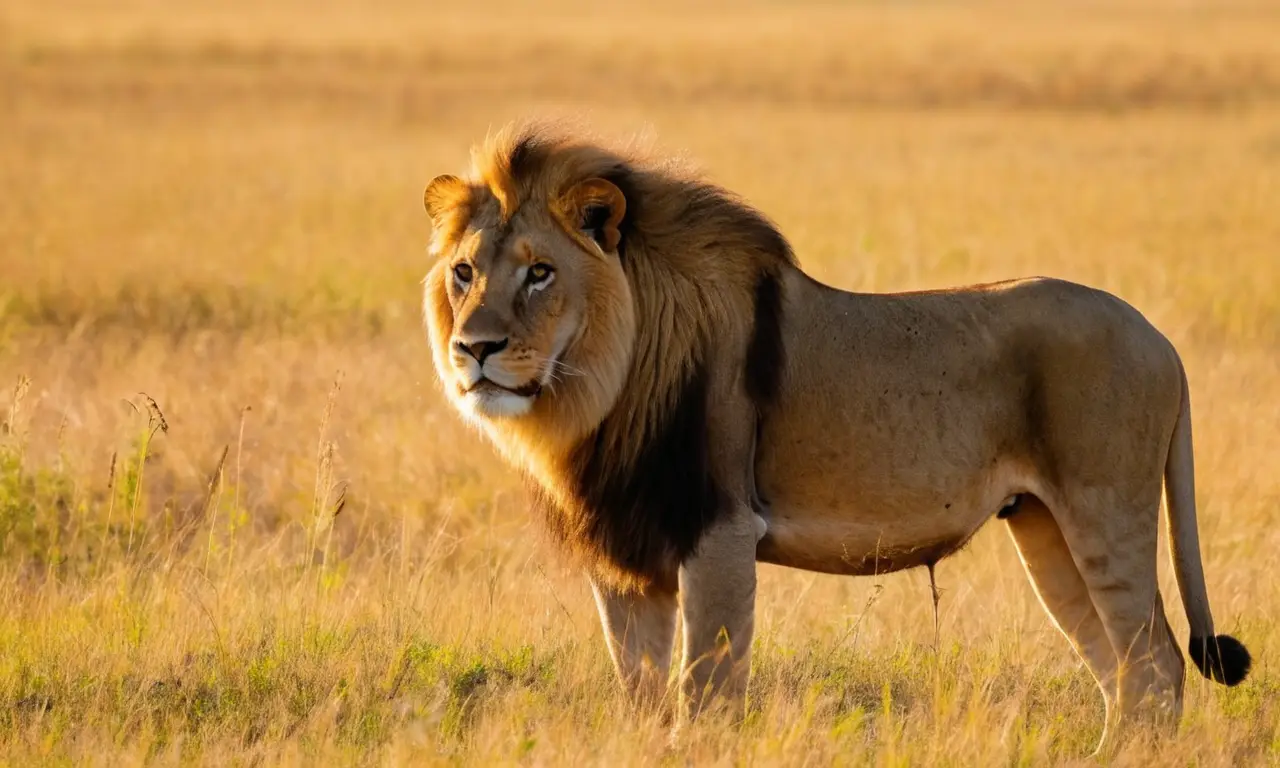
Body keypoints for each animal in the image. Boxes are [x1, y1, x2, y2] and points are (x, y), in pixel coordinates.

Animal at [421, 121, 1250, 749]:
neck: (596, 389)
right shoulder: (628, 554)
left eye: (539, 273)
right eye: (464, 272)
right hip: (1045, 528)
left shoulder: (719, 532)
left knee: (1157, 663)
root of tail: (1158, 337)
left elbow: (706, 692)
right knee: (1120, 671)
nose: (474, 350)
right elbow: (642, 694)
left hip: (1104, 509)